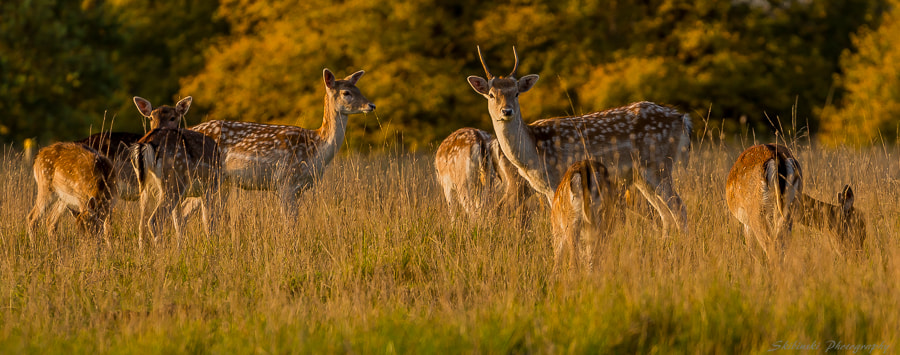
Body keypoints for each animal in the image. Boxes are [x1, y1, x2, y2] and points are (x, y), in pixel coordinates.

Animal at [128, 96, 221, 248]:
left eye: (173, 118)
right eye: (151, 118)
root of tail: (147, 143)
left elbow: (179, 222)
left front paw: (180, 248)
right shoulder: (210, 185)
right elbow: (208, 221)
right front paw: (211, 245)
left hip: (146, 185)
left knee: (142, 223)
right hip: (174, 179)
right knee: (155, 220)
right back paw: (161, 250)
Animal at [188, 68, 374, 218]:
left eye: (358, 89)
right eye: (346, 93)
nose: (371, 105)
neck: (316, 147)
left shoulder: (300, 188)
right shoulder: (285, 181)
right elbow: (289, 223)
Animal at [468, 47, 692, 236]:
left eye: (516, 93)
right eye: (491, 95)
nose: (506, 111)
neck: (534, 152)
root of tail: (682, 119)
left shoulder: (557, 178)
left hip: (657, 164)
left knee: (679, 208)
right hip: (642, 175)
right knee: (666, 214)